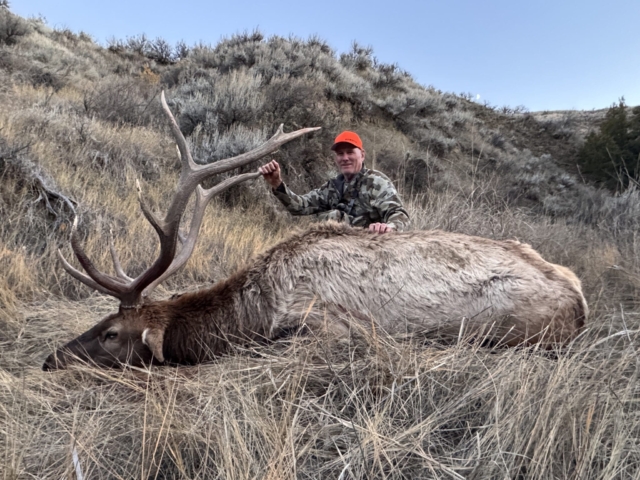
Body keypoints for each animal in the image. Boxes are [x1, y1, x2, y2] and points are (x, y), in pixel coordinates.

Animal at [42, 93, 588, 370]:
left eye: (111, 334)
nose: (51, 359)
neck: (254, 311)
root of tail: (580, 301)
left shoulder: (326, 327)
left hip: (509, 330)